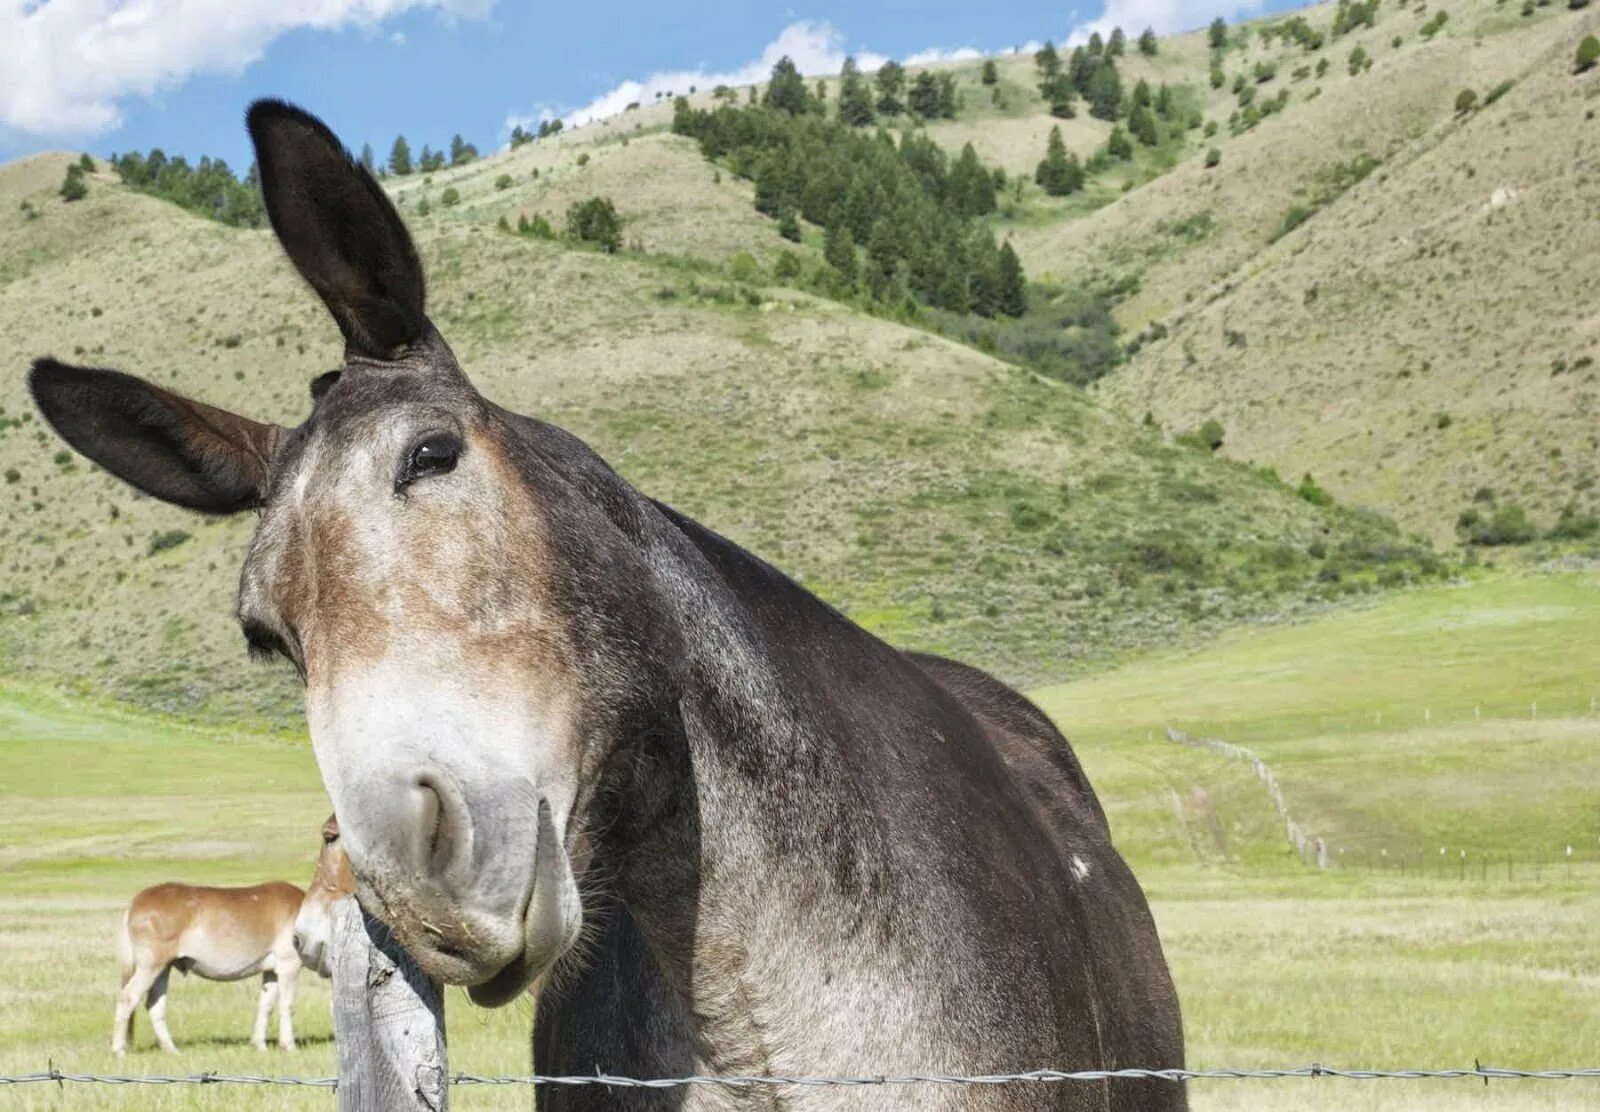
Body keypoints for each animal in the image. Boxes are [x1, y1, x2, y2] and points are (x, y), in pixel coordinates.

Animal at [116, 812, 356, 1056]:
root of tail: (135, 903)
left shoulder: (270, 970)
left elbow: (265, 1006)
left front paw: (260, 1045)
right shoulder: (288, 965)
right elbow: (287, 1005)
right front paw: (289, 1045)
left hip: (163, 967)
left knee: (154, 1005)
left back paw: (171, 1049)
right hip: (150, 966)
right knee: (127, 998)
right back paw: (119, 1049)